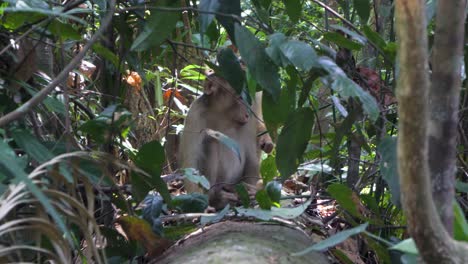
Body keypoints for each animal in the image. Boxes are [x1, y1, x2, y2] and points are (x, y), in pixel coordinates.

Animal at [179, 75, 260, 209]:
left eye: (245, 97)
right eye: (239, 97)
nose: (247, 112)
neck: (221, 114)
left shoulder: (249, 122)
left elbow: (252, 158)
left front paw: (251, 192)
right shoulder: (195, 112)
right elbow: (190, 162)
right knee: (211, 141)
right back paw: (216, 199)